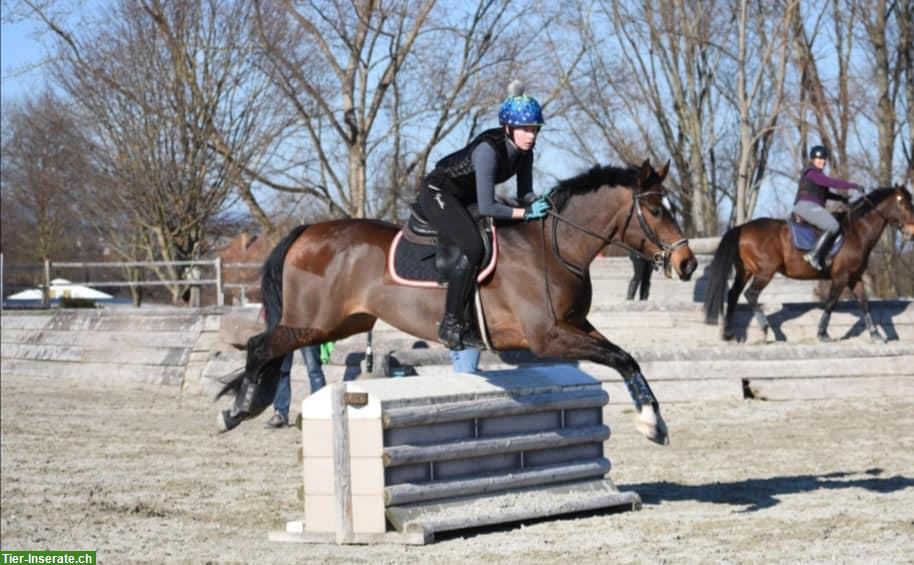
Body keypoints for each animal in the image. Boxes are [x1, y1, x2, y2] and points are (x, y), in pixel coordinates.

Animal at [217, 160, 696, 446]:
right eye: (656, 211)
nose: (687, 263)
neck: (556, 246)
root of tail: (306, 230)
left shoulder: (575, 326)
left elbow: (626, 357)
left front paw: (655, 420)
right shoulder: (548, 337)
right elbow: (620, 359)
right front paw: (650, 422)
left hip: (343, 323)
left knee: (274, 347)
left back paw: (249, 402)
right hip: (316, 321)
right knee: (261, 344)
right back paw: (238, 408)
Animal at [704, 187, 912, 342]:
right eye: (903, 203)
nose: (911, 231)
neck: (857, 231)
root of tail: (742, 228)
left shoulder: (854, 277)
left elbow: (865, 303)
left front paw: (876, 335)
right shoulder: (841, 276)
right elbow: (831, 303)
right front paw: (822, 333)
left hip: (745, 271)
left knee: (733, 295)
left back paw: (729, 334)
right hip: (765, 271)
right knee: (751, 294)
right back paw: (765, 330)